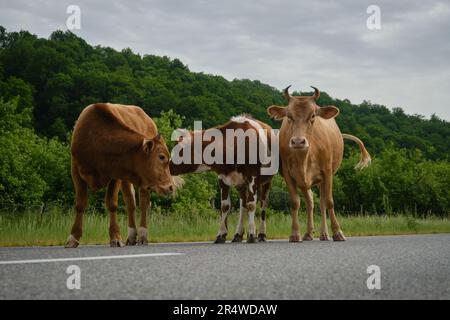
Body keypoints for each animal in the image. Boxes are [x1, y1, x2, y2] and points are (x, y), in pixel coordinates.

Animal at [65, 102, 178, 248]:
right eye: (162, 156)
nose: (170, 187)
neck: (98, 140)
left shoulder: (116, 174)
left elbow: (112, 204)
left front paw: (115, 237)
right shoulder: (75, 170)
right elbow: (80, 204)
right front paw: (73, 237)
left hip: (143, 182)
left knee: (144, 203)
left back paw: (142, 235)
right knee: (130, 202)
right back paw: (131, 237)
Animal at [268, 86, 370, 241]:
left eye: (313, 116)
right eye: (289, 116)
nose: (298, 141)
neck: (304, 158)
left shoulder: (327, 172)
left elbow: (329, 201)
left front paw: (338, 232)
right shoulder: (288, 174)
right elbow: (295, 202)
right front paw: (295, 234)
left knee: (322, 203)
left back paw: (324, 233)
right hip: (305, 182)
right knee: (310, 202)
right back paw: (309, 233)